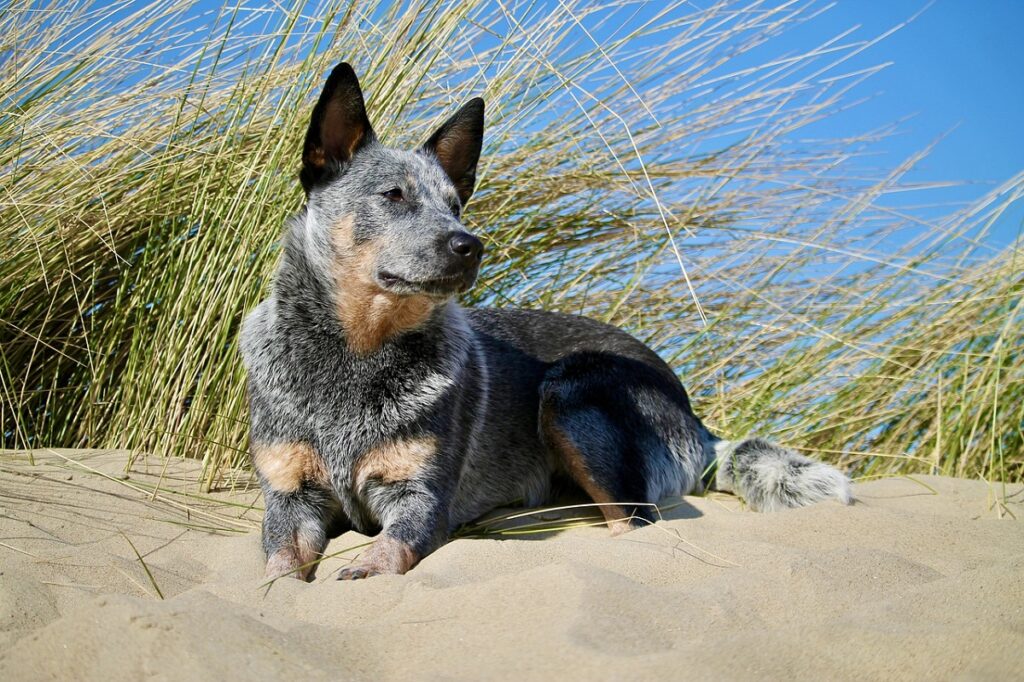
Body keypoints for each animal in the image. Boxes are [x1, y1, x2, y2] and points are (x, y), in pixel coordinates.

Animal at [239, 62, 856, 577]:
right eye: (393, 195)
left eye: (455, 206)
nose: (470, 245)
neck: (357, 352)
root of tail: (695, 420)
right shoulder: (289, 499)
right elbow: (279, 569)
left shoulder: (421, 499)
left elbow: (389, 553)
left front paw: (364, 569)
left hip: (569, 391)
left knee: (638, 526)